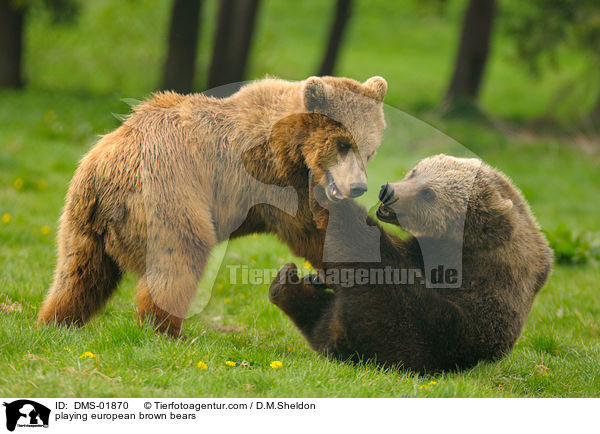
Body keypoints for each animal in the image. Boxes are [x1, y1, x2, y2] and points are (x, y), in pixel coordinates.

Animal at [37, 76, 386, 338]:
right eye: (343, 144)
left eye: (369, 149)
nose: (358, 186)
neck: (289, 148)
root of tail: (105, 167)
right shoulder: (270, 181)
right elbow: (311, 231)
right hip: (169, 193)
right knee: (178, 257)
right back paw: (165, 329)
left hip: (81, 216)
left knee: (79, 272)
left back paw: (56, 321)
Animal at [268, 153, 552, 372]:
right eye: (415, 171)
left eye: (429, 193)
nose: (388, 190)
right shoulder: (426, 252)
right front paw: (315, 278)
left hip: (434, 330)